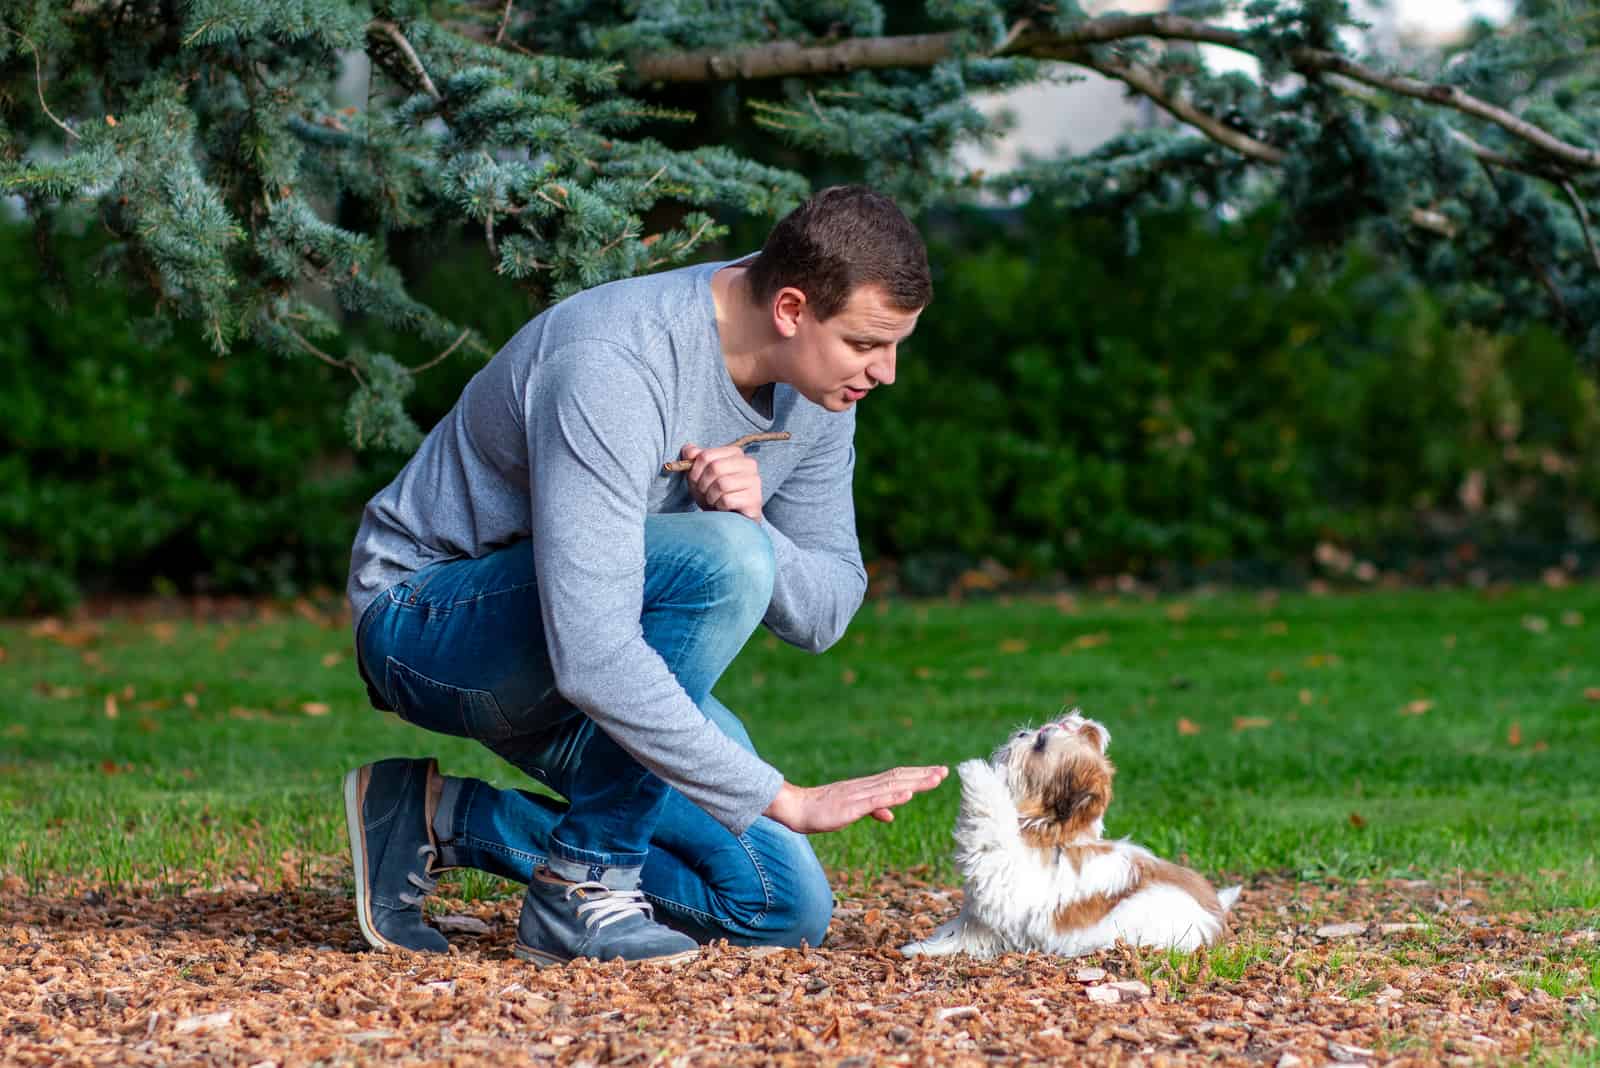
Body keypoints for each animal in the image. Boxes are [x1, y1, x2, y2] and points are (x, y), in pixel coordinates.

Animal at [902, 709, 1235, 959]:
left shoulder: (1005, 870)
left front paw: (980, 772)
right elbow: (966, 930)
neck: (1045, 832)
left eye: (1040, 744)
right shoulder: (987, 915)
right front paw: (928, 947)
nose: (1022, 734)